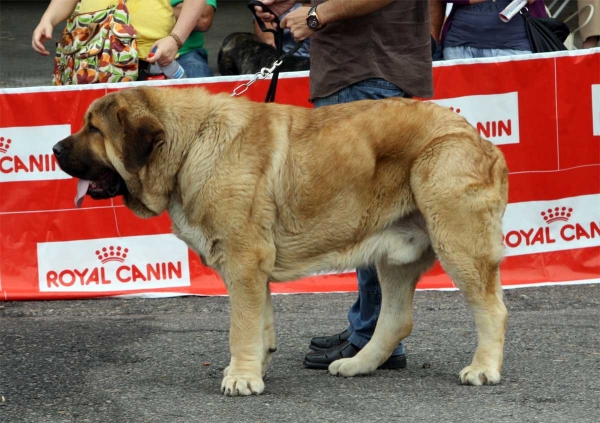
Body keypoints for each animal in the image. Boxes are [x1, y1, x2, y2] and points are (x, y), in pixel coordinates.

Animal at [52, 85, 510, 398]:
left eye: (94, 129)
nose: (55, 148)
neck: (190, 146)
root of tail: (479, 137)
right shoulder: (253, 266)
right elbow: (260, 323)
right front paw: (252, 368)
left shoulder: (243, 259)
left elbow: (240, 326)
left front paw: (241, 378)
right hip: (395, 256)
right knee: (396, 319)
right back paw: (356, 364)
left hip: (458, 241)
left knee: (491, 308)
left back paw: (483, 368)